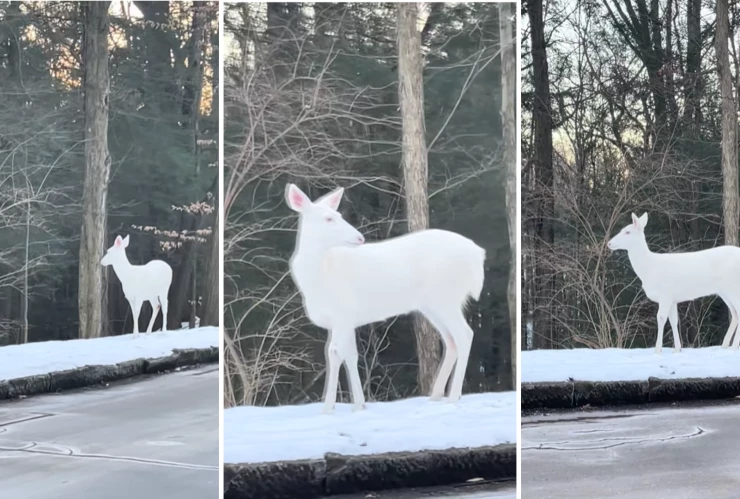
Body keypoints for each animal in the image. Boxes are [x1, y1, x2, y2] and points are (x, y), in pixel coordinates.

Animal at [285, 183, 486, 414]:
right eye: (328, 218)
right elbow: (351, 355)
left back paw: (453, 397)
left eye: (338, 215)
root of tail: (478, 255)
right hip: (432, 304)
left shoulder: (343, 313)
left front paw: (328, 409)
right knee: (451, 341)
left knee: (465, 334)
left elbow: (334, 353)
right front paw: (359, 405)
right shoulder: (346, 320)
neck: (320, 276)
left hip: (446, 296)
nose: (360, 238)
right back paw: (436, 396)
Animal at [607, 212, 740, 353]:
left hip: (733, 286)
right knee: (735, 314)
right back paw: (725, 345)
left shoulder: (665, 295)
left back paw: (734, 346)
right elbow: (673, 321)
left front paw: (658, 350)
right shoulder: (672, 298)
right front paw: (677, 349)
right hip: (724, 291)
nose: (609, 243)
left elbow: (661, 318)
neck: (649, 269)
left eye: (627, 232)